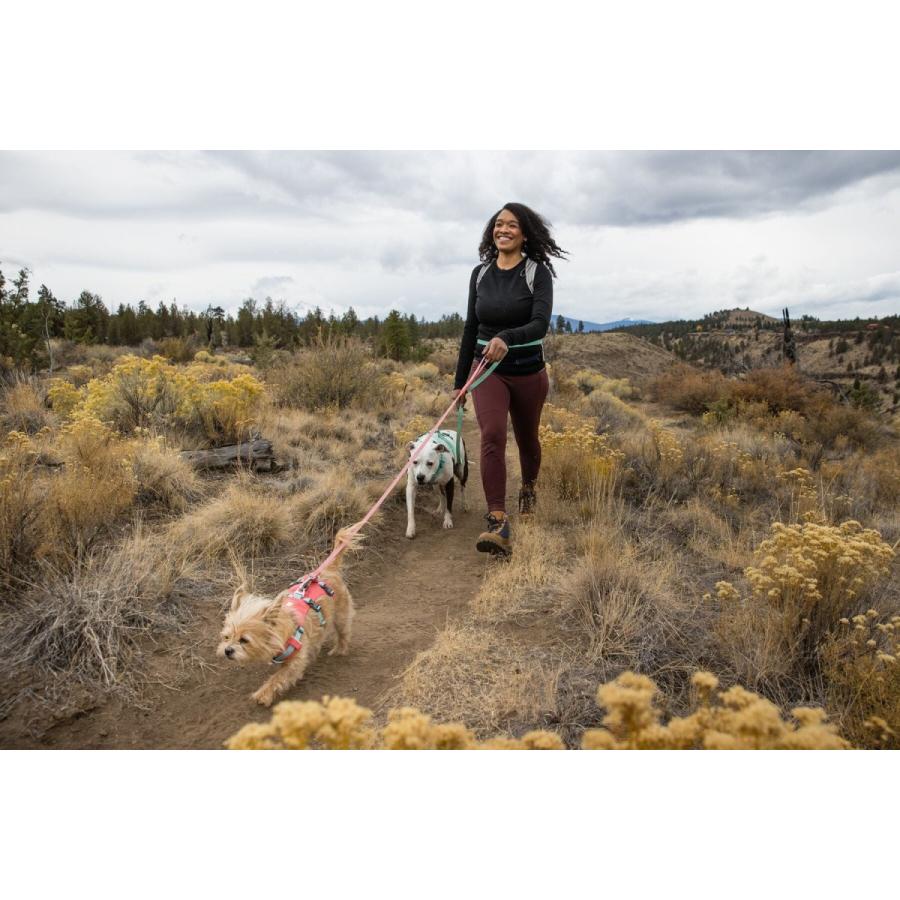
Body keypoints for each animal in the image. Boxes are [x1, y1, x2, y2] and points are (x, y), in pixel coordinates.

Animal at [216, 528, 356, 712]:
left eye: (244, 640)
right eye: (226, 637)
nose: (227, 650)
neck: (283, 632)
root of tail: (329, 570)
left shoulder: (295, 662)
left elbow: (278, 677)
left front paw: (263, 695)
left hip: (341, 615)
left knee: (344, 633)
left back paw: (340, 650)